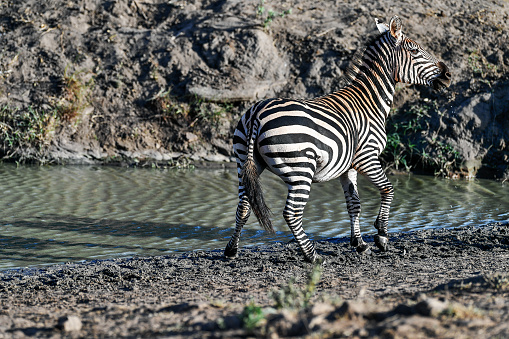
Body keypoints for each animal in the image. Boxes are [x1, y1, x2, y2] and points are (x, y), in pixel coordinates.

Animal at [224, 15, 450, 264]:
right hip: (300, 168)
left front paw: (360, 243)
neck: (370, 102)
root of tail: (257, 113)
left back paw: (231, 250)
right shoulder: (367, 158)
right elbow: (388, 189)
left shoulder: (348, 166)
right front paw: (381, 235)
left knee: (243, 206)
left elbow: (354, 204)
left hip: (244, 162)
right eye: (415, 50)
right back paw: (313, 256)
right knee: (291, 213)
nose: (447, 74)